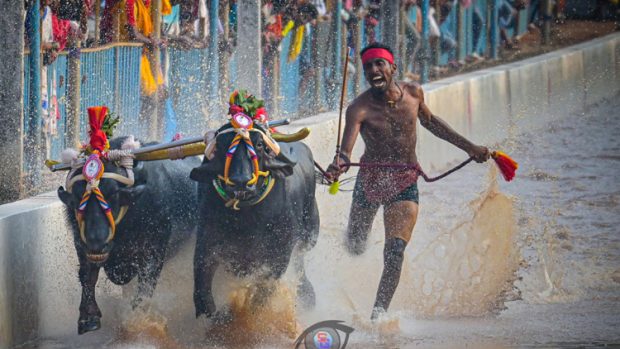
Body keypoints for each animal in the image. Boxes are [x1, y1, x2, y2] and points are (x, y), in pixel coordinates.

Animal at [57, 136, 199, 332]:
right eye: (79, 199)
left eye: (114, 196)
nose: (97, 242)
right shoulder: (82, 243)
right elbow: (88, 276)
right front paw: (88, 318)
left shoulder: (154, 252)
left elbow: (146, 284)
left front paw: (137, 321)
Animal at [190, 121, 320, 318]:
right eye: (221, 145)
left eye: (259, 144)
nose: (241, 181)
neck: (246, 219)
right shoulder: (207, 242)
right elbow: (203, 289)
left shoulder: (280, 255)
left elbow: (262, 292)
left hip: (310, 231)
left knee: (300, 258)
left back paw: (307, 293)